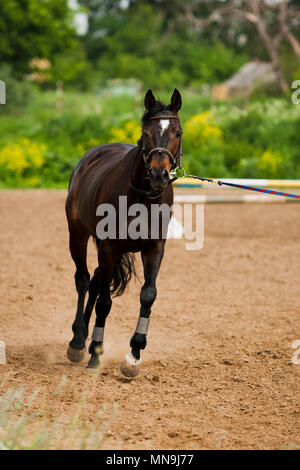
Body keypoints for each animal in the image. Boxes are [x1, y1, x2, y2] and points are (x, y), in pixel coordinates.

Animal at [66, 87, 183, 374]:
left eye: (177, 132)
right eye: (146, 133)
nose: (159, 175)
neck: (142, 196)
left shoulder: (154, 248)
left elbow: (148, 295)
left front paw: (134, 355)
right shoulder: (108, 247)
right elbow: (105, 302)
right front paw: (96, 352)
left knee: (96, 279)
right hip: (78, 235)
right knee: (83, 279)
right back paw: (77, 342)